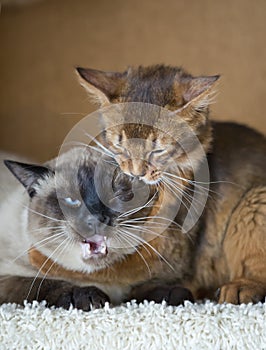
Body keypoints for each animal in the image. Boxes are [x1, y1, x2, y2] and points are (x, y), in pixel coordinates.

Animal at [30, 65, 264, 304]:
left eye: (158, 149)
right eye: (120, 145)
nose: (136, 172)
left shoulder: (169, 254)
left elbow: (107, 267)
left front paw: (36, 255)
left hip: (254, 200)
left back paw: (242, 286)